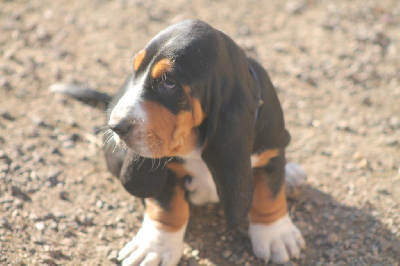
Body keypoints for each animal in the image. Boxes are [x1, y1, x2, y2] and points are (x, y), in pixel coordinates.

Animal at [104, 19, 304, 264]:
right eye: (135, 71)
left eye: (169, 82)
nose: (115, 125)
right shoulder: (163, 169)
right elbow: (167, 207)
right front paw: (155, 247)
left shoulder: (271, 150)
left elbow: (269, 195)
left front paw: (276, 234)